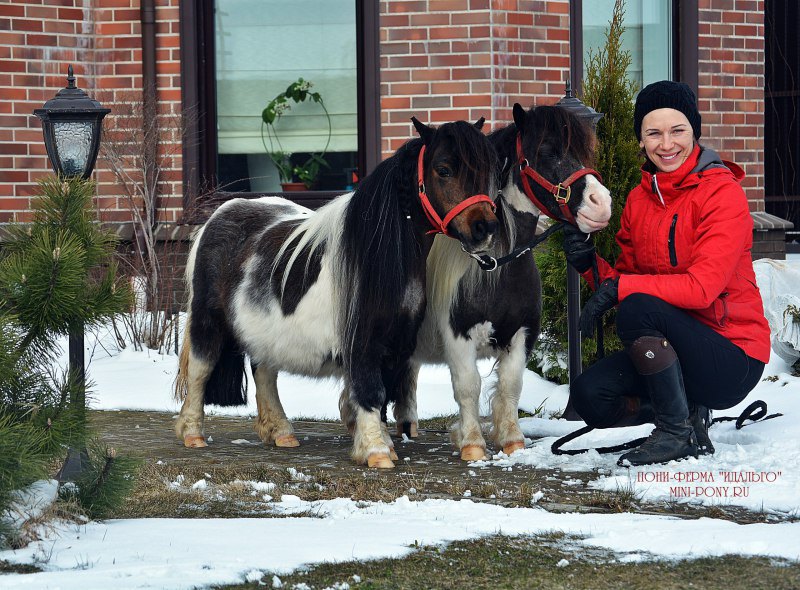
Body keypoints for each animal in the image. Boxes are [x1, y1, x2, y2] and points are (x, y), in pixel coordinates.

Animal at [176, 119, 500, 472]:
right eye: (443, 169)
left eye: (488, 169)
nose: (485, 227)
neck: (379, 256)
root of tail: (219, 214)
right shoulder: (363, 342)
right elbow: (370, 391)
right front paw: (377, 452)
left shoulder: (395, 343)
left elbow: (380, 395)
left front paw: (382, 444)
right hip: (208, 323)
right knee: (199, 371)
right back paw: (192, 434)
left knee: (264, 374)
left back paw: (281, 433)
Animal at [372, 103, 608, 462]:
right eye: (547, 152)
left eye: (583, 152)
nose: (602, 203)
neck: (494, 269)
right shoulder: (458, 336)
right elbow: (468, 386)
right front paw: (471, 444)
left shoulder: (523, 334)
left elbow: (511, 385)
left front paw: (512, 441)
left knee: (408, 377)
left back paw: (409, 426)